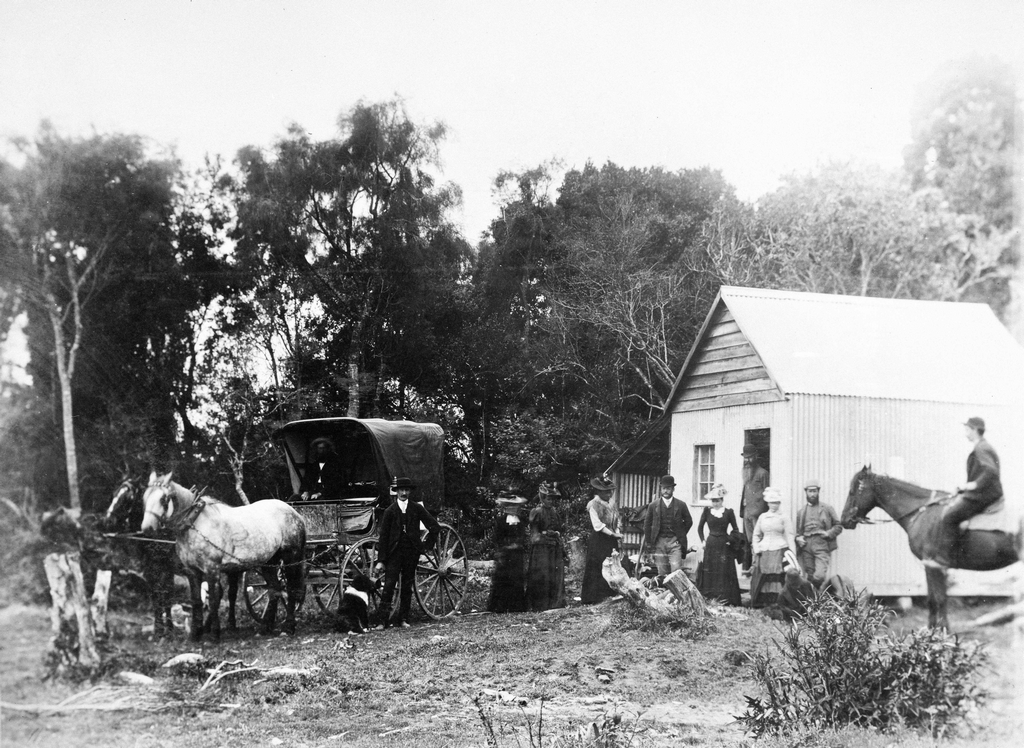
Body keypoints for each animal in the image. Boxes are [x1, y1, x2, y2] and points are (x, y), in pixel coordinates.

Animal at [103, 477, 239, 635]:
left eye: (128, 497)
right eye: (114, 494)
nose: (107, 521)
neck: (159, 535)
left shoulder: (161, 569)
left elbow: (162, 596)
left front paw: (163, 630)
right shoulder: (159, 570)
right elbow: (162, 597)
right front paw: (165, 628)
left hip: (229, 568)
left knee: (230, 593)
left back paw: (230, 623)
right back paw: (207, 626)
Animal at [142, 469, 305, 639]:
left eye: (163, 499)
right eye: (145, 497)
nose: (147, 528)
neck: (195, 523)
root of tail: (294, 512)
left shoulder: (212, 569)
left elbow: (214, 599)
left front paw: (214, 634)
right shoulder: (191, 571)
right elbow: (196, 600)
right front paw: (195, 634)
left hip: (291, 557)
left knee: (291, 589)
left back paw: (288, 627)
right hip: (268, 561)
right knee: (274, 590)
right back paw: (266, 627)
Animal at [843, 467, 1019, 631]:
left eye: (852, 491)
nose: (844, 520)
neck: (922, 511)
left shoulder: (933, 565)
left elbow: (939, 599)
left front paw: (942, 632)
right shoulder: (930, 565)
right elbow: (932, 599)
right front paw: (930, 631)